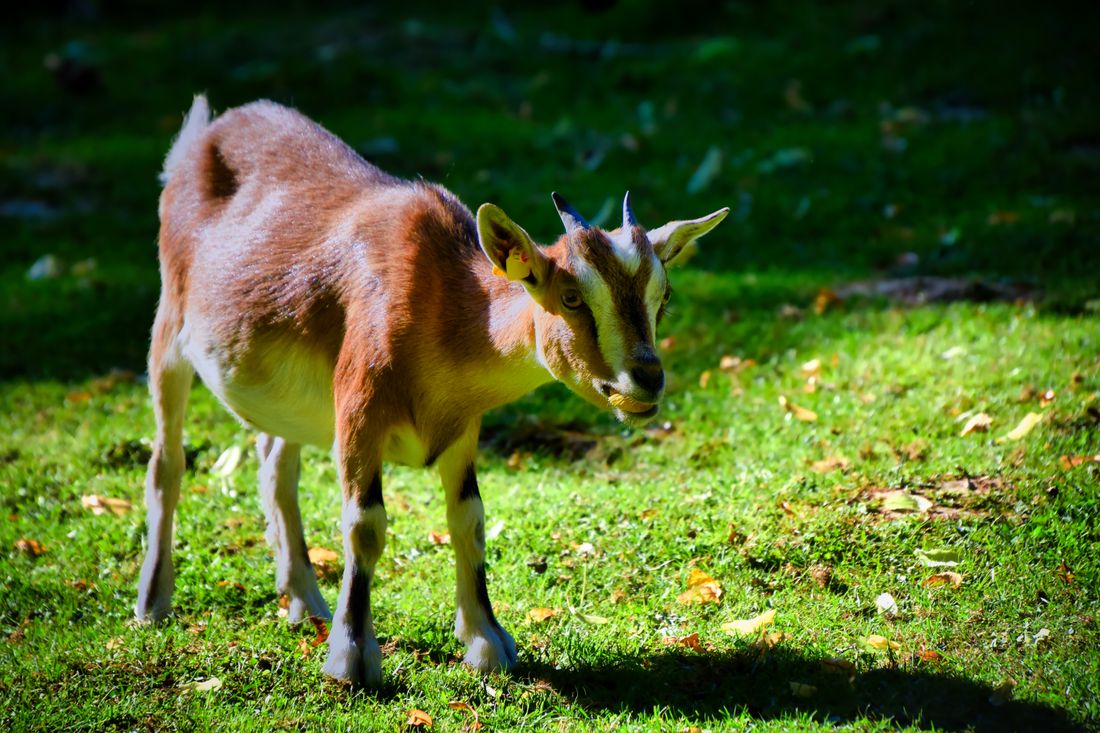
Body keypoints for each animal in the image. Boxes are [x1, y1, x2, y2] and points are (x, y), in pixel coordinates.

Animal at [137, 95, 728, 685]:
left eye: (663, 295)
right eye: (571, 296)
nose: (647, 377)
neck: (441, 295)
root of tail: (203, 133)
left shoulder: (461, 426)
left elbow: (469, 520)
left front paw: (487, 642)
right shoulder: (358, 410)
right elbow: (365, 525)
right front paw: (351, 657)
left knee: (276, 466)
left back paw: (305, 600)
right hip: (170, 328)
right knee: (167, 461)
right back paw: (153, 603)